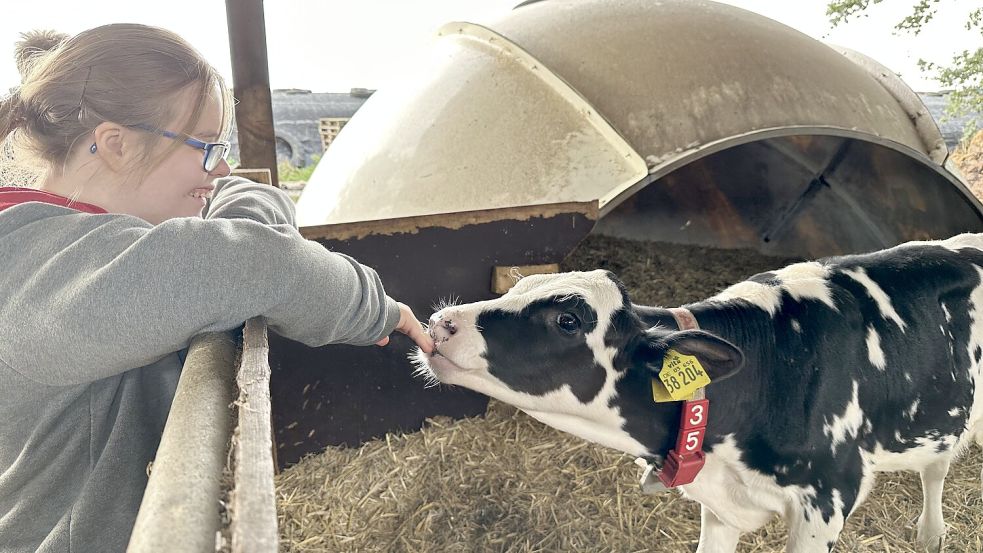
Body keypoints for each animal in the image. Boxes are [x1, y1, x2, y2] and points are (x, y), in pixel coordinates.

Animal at [412, 233, 983, 552]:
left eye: (568, 320)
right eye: (515, 286)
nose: (440, 322)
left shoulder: (825, 503)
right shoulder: (721, 505)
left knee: (937, 470)